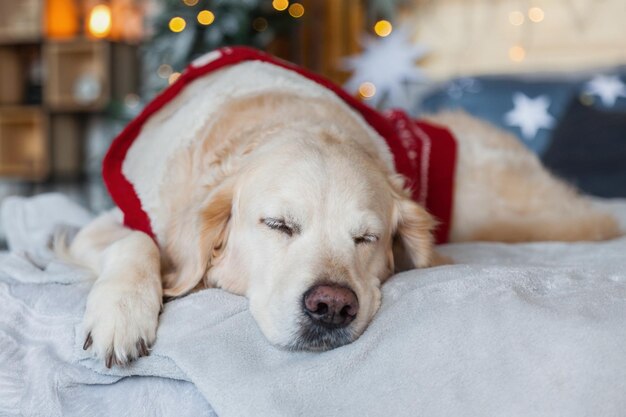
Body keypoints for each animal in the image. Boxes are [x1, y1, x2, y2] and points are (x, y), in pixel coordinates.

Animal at [59, 52, 620, 368]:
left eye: (366, 238)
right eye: (278, 225)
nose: (331, 306)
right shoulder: (106, 222)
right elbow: (136, 240)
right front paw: (121, 313)